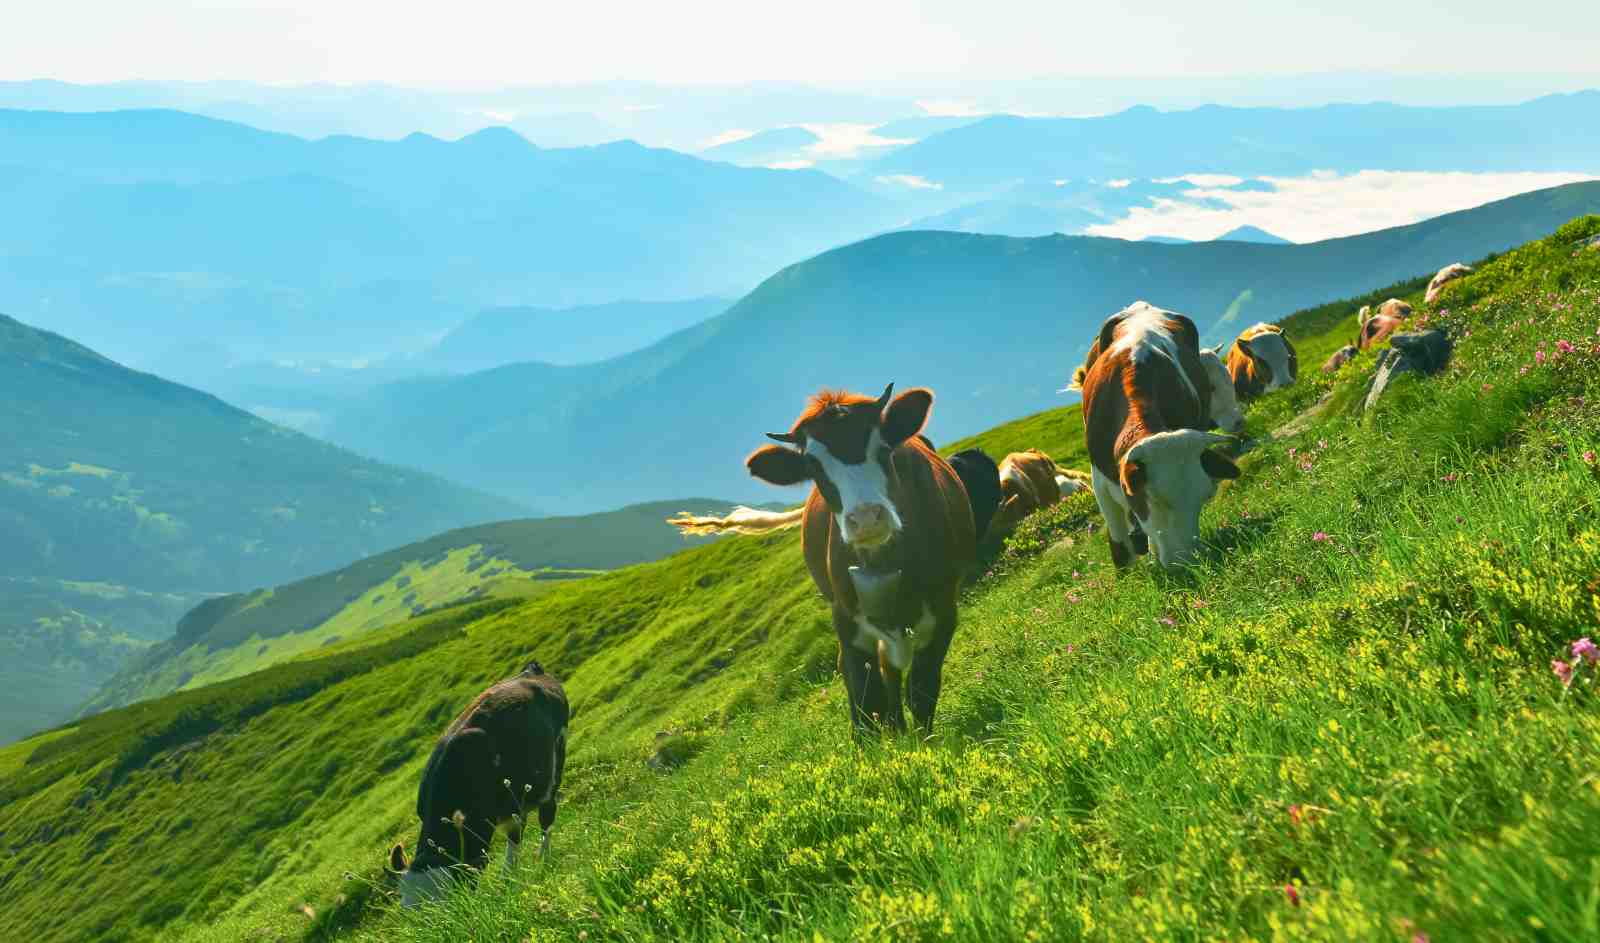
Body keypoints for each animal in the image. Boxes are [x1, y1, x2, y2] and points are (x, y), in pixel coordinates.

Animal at [387, 662, 569, 908]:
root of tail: (532, 671)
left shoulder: (502, 812)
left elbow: (506, 846)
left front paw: (507, 884)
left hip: (553, 767)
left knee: (546, 817)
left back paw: (544, 859)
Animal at [669, 384, 975, 737]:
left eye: (884, 449)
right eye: (814, 468)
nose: (866, 520)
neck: (885, 559)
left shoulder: (944, 609)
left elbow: (922, 690)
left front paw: (923, 741)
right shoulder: (845, 616)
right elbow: (867, 699)